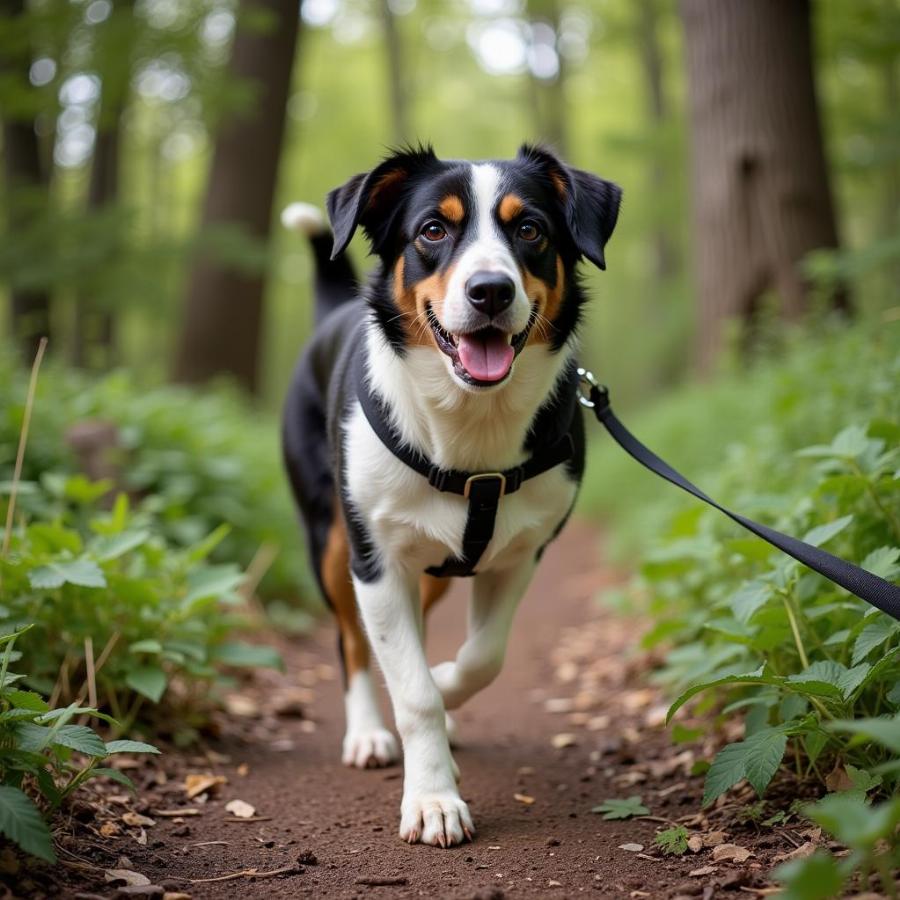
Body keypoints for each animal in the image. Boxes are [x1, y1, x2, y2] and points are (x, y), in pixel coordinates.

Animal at [282, 144, 620, 848]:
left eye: (530, 230)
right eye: (433, 230)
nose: (489, 290)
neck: (470, 426)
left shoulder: (521, 554)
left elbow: (481, 659)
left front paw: (444, 689)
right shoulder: (376, 562)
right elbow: (410, 692)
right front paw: (432, 798)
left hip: (431, 568)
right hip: (330, 541)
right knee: (350, 640)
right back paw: (367, 733)